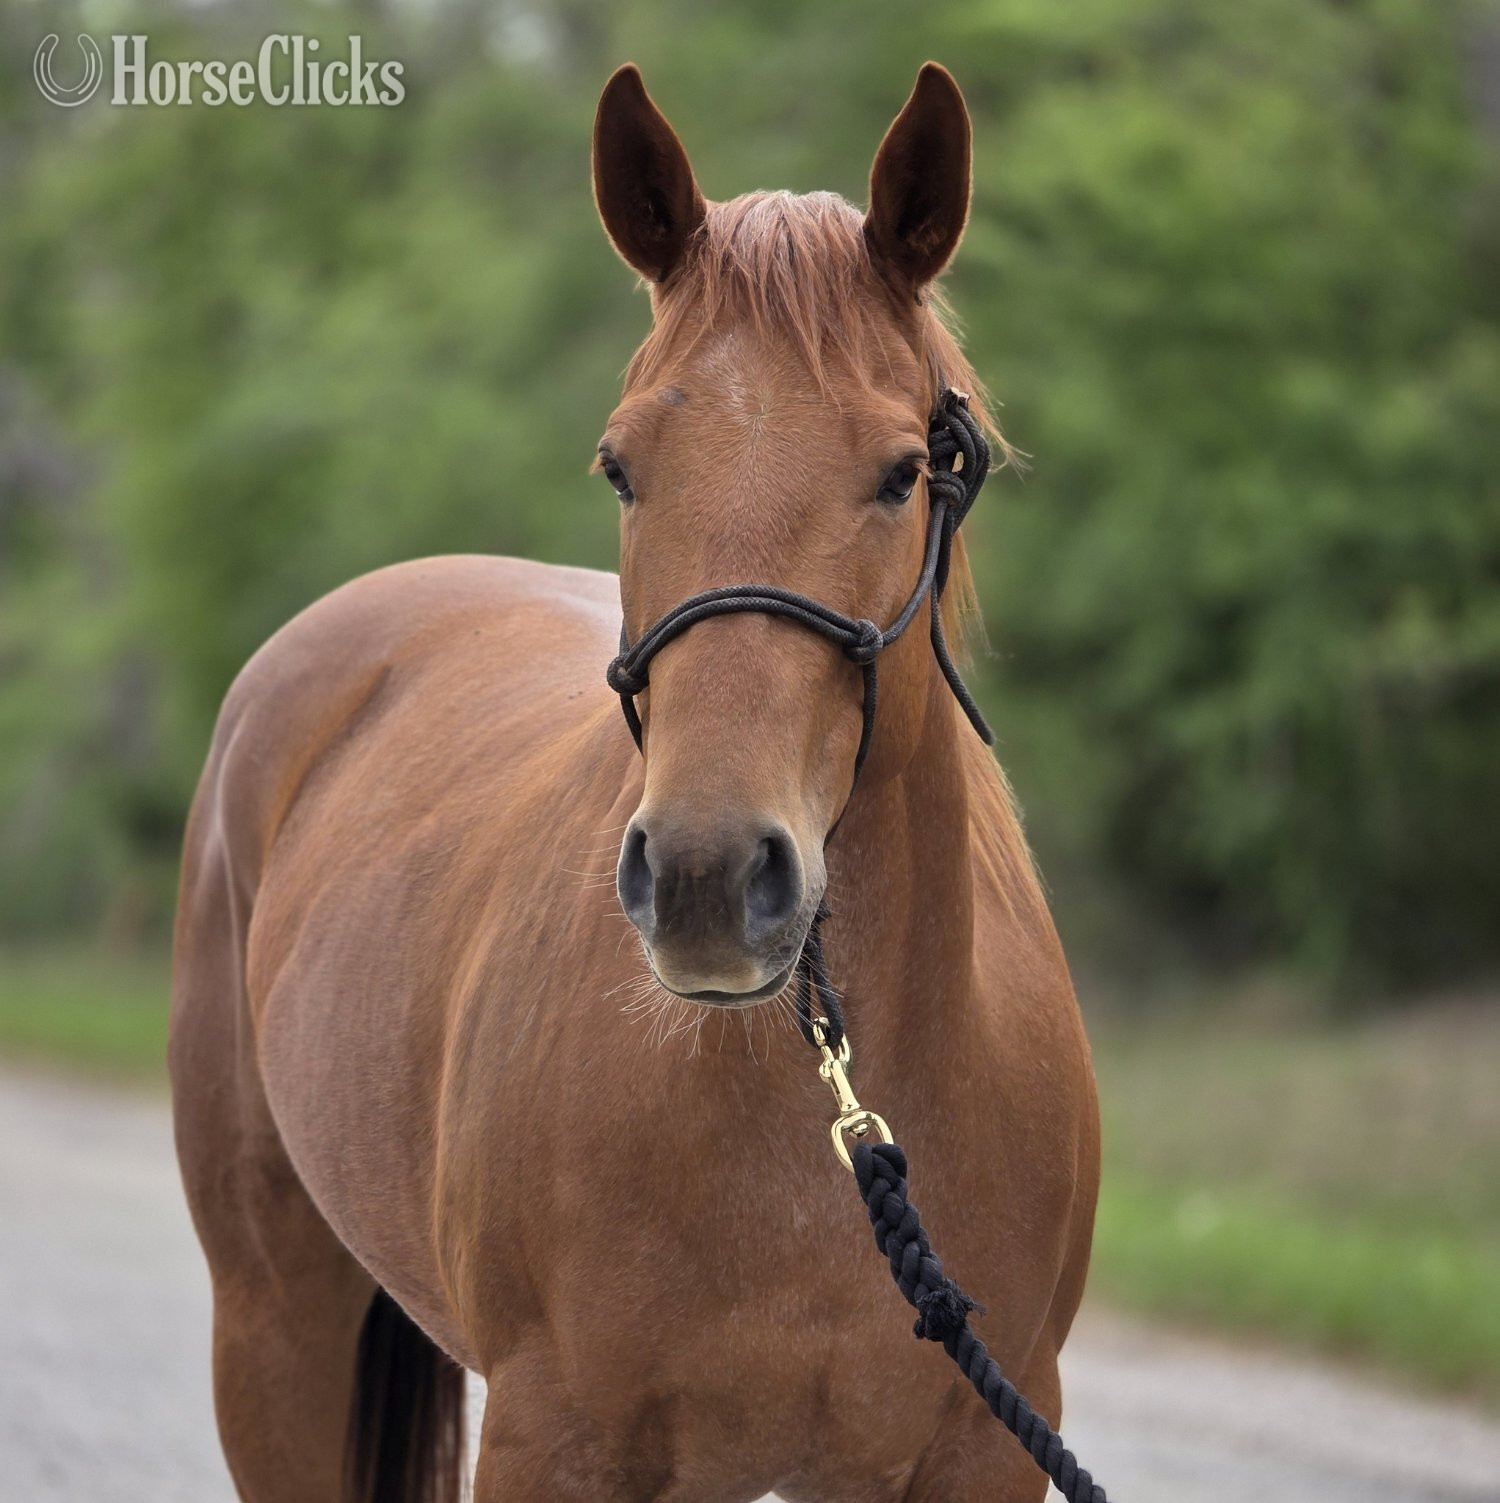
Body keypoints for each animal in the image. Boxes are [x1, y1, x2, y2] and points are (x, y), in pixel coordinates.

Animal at [169, 61, 1100, 1503]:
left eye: (905, 472)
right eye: (621, 467)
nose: (711, 879)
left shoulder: (970, 1454)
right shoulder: (553, 1442)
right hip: (272, 1325)